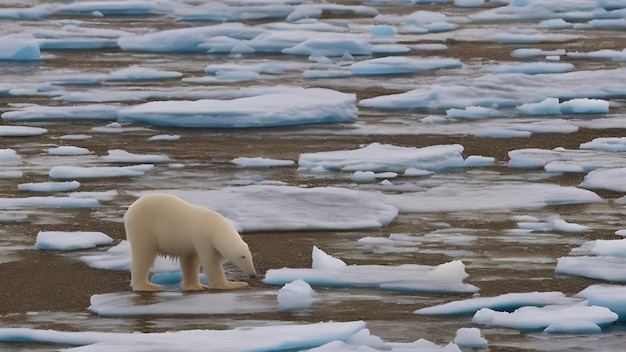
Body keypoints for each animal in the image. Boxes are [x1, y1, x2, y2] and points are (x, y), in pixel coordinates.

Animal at [124, 192, 256, 292]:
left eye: (250, 256)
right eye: (243, 256)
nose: (253, 275)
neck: (214, 226)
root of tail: (130, 210)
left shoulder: (191, 242)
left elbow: (189, 262)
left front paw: (196, 286)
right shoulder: (202, 238)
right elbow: (211, 263)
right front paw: (233, 284)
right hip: (144, 227)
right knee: (144, 256)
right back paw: (149, 286)